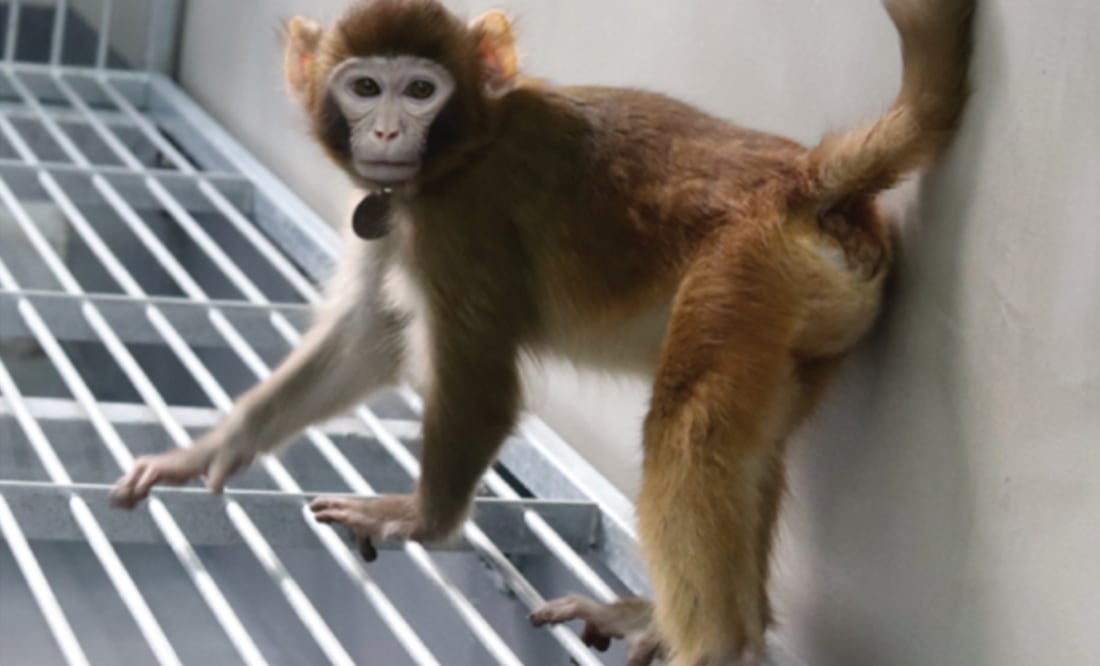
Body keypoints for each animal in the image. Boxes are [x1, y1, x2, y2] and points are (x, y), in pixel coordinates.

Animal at [110, 0, 975, 663]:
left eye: (419, 89)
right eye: (363, 87)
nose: (385, 133)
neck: (466, 145)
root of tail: (805, 182)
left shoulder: (463, 218)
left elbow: (481, 381)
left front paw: (424, 519)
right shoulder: (401, 212)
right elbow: (368, 335)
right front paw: (210, 450)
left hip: (745, 272)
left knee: (690, 432)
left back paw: (715, 644)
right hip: (801, 315)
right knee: (745, 447)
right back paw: (675, 619)